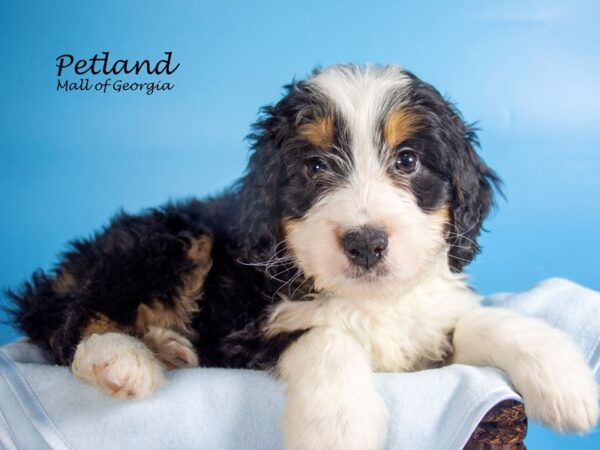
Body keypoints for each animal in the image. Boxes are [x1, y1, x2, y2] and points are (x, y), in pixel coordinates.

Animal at [7, 64, 596, 450]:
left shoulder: (427, 335)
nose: (365, 243)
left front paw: (564, 379)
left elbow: (480, 320)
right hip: (171, 242)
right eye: (315, 167)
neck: (365, 300)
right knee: (69, 318)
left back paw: (166, 345)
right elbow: (325, 335)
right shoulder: (243, 331)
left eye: (407, 160)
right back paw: (124, 358)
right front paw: (339, 427)